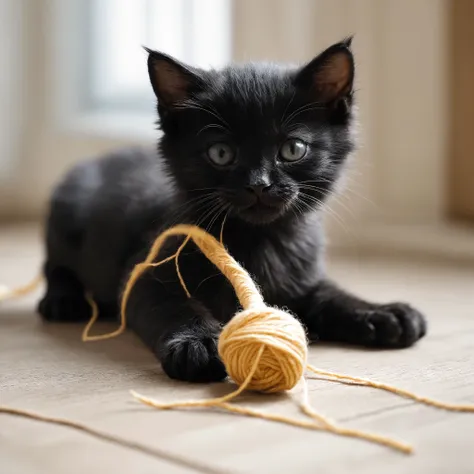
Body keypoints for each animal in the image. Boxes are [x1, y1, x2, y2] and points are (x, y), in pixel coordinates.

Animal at [39, 39, 426, 384]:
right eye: (221, 153)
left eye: (293, 149)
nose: (259, 184)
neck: (257, 242)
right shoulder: (142, 276)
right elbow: (173, 306)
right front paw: (198, 343)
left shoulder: (300, 275)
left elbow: (330, 294)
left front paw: (381, 312)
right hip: (67, 212)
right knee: (54, 266)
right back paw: (62, 300)